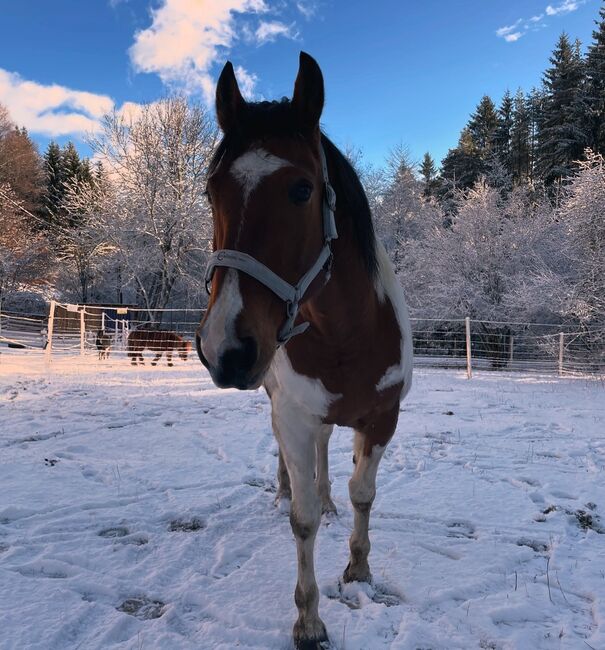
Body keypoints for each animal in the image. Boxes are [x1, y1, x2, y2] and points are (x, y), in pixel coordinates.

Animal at [196, 53, 412, 644]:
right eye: (211, 192)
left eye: (301, 189)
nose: (225, 347)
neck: (346, 334)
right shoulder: (293, 415)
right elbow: (303, 519)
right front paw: (310, 621)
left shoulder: (382, 418)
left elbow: (363, 494)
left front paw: (358, 569)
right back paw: (283, 491)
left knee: (324, 459)